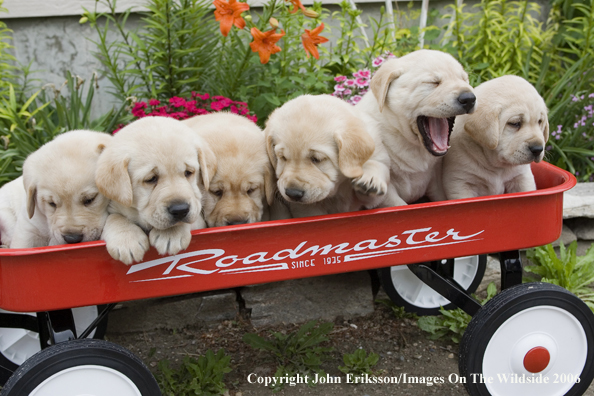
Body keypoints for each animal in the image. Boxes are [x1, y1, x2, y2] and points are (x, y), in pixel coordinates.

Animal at [96, 117, 216, 266]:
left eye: (188, 172)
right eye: (151, 179)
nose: (180, 210)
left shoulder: (198, 217)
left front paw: (171, 233)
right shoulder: (115, 206)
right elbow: (114, 217)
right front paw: (126, 239)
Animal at [354, 48, 474, 207]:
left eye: (464, 80)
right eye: (433, 82)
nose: (469, 98)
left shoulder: (436, 179)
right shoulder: (388, 195)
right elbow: (398, 204)